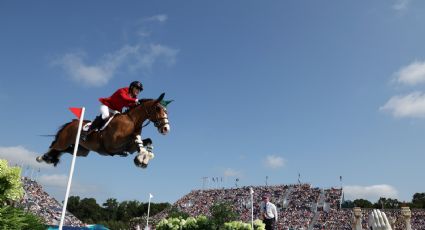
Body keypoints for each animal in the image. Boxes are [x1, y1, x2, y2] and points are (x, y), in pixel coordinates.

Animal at [35, 92, 170, 169]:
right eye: (158, 109)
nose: (166, 129)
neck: (132, 121)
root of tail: (72, 122)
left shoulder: (129, 147)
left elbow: (146, 142)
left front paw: (143, 160)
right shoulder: (114, 145)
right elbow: (136, 140)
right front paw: (142, 158)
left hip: (80, 151)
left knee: (64, 150)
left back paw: (49, 158)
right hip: (64, 141)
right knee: (54, 146)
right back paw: (41, 157)